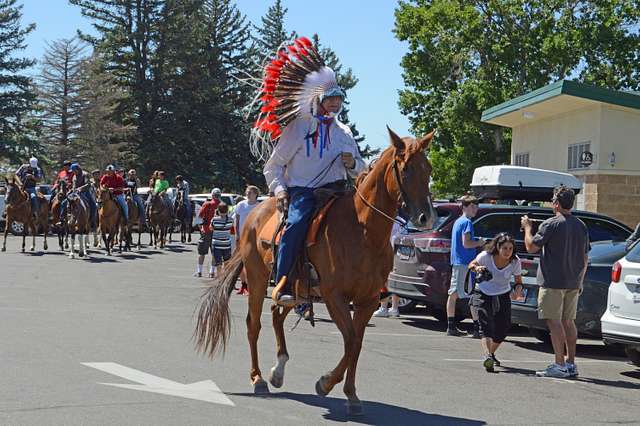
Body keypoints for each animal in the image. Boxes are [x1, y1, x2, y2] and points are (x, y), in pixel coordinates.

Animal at [194, 128, 436, 414]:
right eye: (406, 168)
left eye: (429, 168)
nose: (426, 217)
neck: (363, 231)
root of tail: (254, 214)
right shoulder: (335, 296)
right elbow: (351, 340)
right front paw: (326, 383)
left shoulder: (367, 300)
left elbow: (356, 343)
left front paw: (351, 395)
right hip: (257, 278)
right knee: (254, 324)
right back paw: (259, 378)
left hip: (295, 289)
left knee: (276, 315)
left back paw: (278, 371)